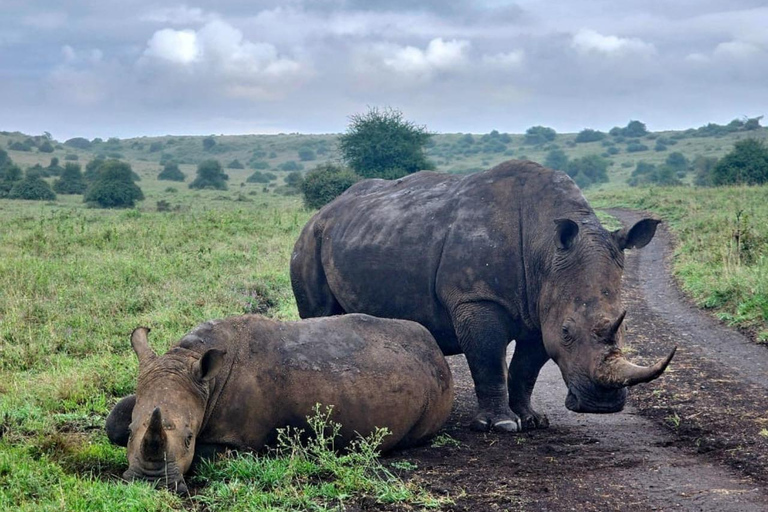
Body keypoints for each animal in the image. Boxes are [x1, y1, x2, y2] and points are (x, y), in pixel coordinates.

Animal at [108, 314, 456, 494]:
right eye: (131, 431)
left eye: (189, 439)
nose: (151, 484)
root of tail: (436, 348)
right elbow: (115, 415)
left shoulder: (235, 438)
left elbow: (208, 455)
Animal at [292, 160, 676, 432]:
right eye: (568, 332)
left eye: (622, 327)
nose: (603, 405)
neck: (544, 248)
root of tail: (325, 209)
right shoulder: (476, 298)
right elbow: (489, 358)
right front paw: (501, 425)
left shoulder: (541, 308)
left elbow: (526, 368)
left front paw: (532, 420)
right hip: (309, 239)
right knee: (318, 311)